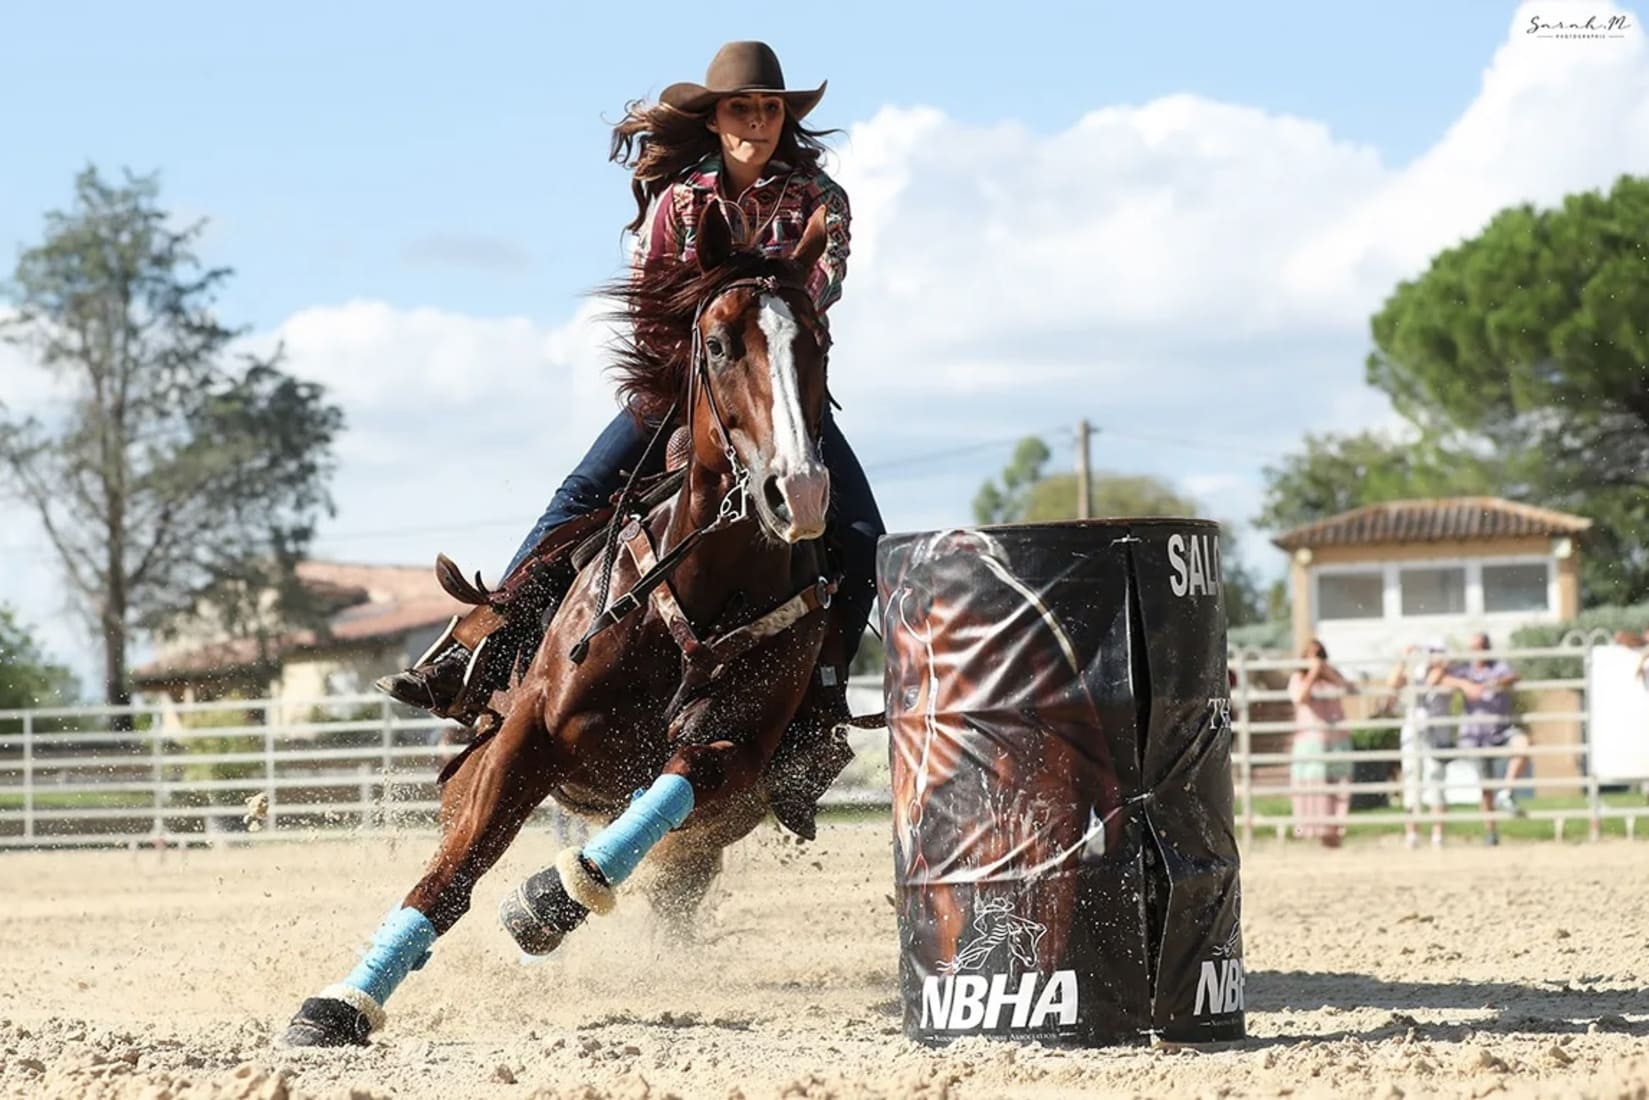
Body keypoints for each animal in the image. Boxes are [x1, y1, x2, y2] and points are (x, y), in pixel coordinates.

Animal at [280, 204, 837, 1048]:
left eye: (820, 342)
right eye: (716, 344)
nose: (796, 491)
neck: (702, 587)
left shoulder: (731, 750)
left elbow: (665, 794)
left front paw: (549, 901)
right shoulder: (527, 733)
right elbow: (453, 875)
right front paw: (339, 1003)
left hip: (711, 834)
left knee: (671, 890)